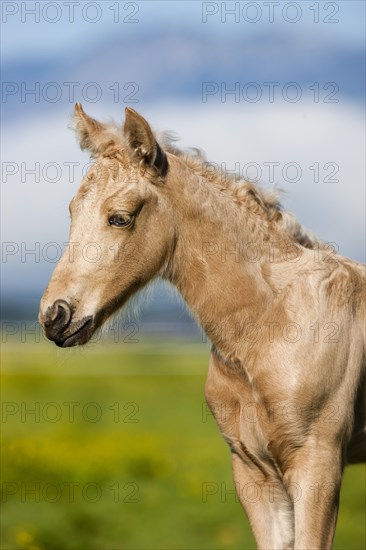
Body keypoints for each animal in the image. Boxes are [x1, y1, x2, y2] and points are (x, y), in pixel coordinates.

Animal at [38, 105, 364, 548]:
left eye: (120, 218)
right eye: (72, 211)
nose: (55, 317)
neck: (268, 325)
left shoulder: (319, 464)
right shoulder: (253, 471)